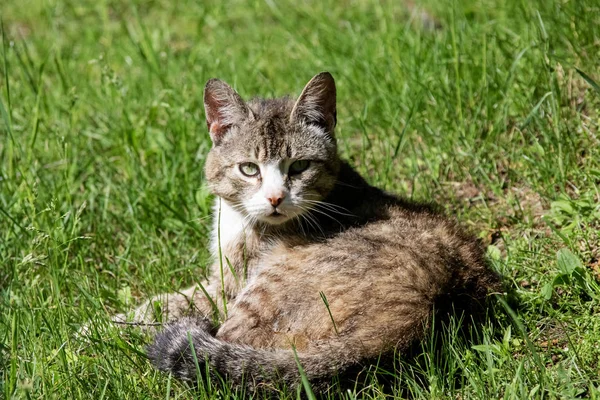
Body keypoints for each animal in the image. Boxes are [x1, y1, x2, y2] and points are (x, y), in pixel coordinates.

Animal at [122, 72, 502, 390]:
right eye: (249, 169)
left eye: (300, 166)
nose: (275, 198)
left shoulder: (228, 286)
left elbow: (175, 301)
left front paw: (113, 323)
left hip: (267, 287)